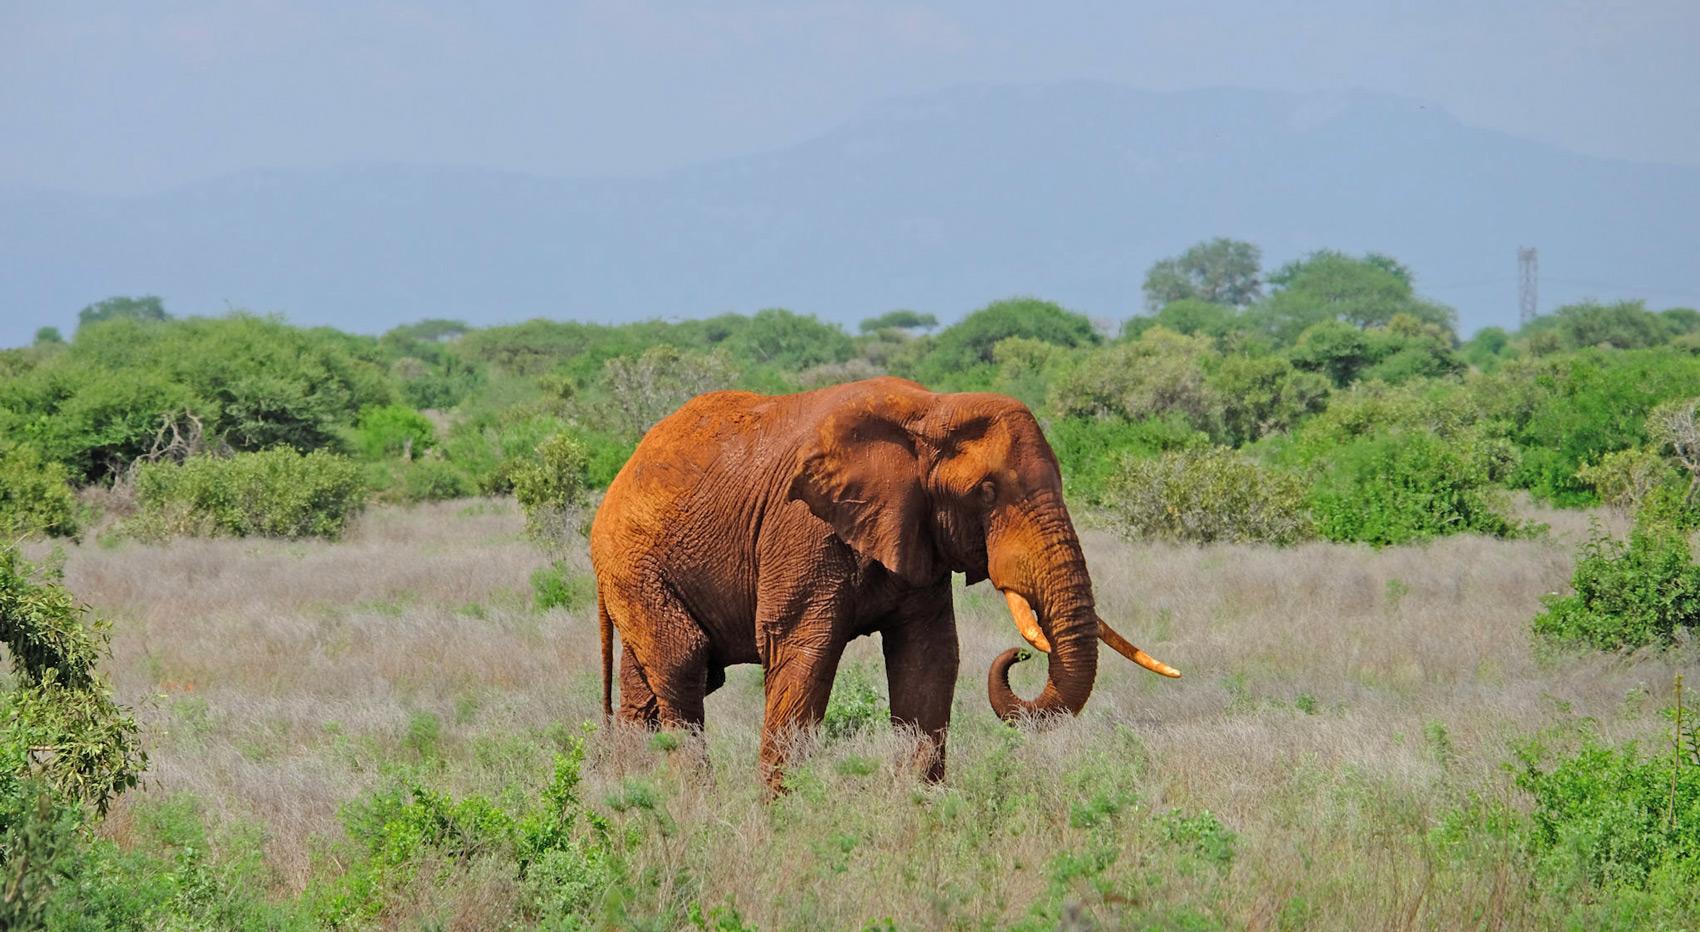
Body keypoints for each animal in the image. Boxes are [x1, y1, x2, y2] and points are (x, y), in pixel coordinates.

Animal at [590, 376, 1179, 790]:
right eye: (986, 493)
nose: (1021, 655)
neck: (932, 409)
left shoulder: (918, 532)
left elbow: (929, 658)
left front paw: (919, 808)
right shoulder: (803, 529)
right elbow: (803, 652)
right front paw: (783, 820)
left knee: (649, 687)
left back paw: (632, 796)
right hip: (633, 565)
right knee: (683, 663)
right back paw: (690, 800)